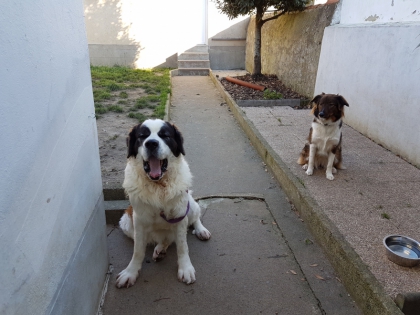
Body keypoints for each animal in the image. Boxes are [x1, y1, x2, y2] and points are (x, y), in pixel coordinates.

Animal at [115, 118, 212, 288]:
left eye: (165, 135)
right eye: (142, 136)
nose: (151, 143)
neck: (158, 186)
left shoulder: (180, 215)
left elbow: (182, 246)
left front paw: (185, 268)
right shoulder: (138, 220)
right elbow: (138, 251)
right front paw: (131, 272)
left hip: (190, 205)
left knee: (195, 218)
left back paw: (201, 230)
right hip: (126, 222)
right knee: (165, 239)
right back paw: (160, 249)